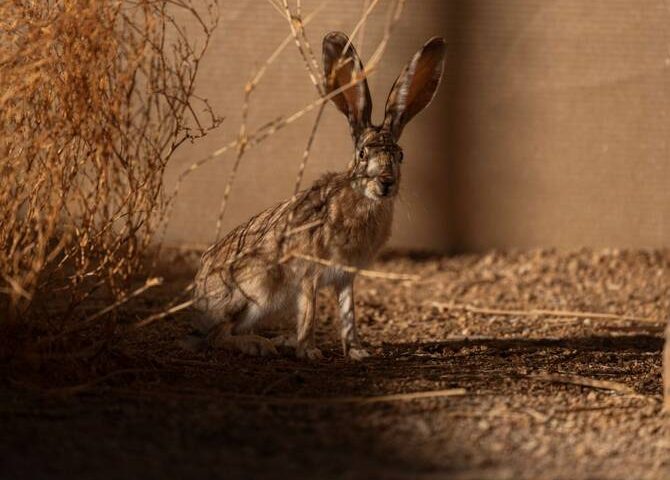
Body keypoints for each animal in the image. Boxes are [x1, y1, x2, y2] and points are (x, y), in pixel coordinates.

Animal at [190, 31, 446, 360]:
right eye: (362, 154)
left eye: (401, 155)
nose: (386, 183)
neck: (359, 198)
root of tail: (198, 299)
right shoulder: (309, 273)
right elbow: (310, 313)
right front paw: (309, 352)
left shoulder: (345, 277)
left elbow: (348, 315)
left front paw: (357, 351)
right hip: (257, 292)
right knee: (217, 335)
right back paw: (259, 345)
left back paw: (280, 340)